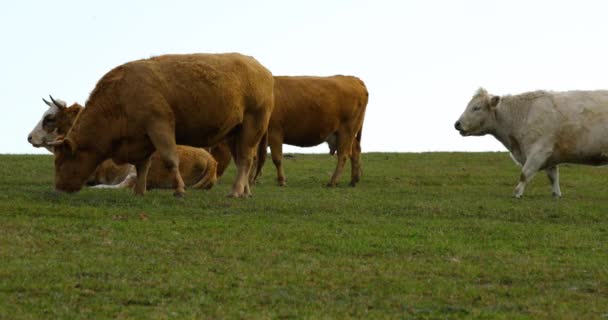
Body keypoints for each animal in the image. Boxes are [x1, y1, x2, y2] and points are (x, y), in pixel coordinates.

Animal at [50, 52, 274, 198]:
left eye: (61, 161)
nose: (58, 187)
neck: (120, 98)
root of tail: (260, 68)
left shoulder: (159, 127)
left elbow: (170, 159)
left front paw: (179, 190)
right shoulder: (142, 138)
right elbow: (142, 165)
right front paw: (139, 191)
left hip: (252, 126)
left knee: (245, 159)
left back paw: (235, 192)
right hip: (235, 133)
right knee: (244, 161)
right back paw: (245, 191)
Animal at [454, 87, 608, 198]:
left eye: (477, 107)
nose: (457, 124)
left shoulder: (539, 150)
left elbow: (524, 174)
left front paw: (517, 194)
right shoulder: (550, 156)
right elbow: (553, 177)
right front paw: (556, 195)